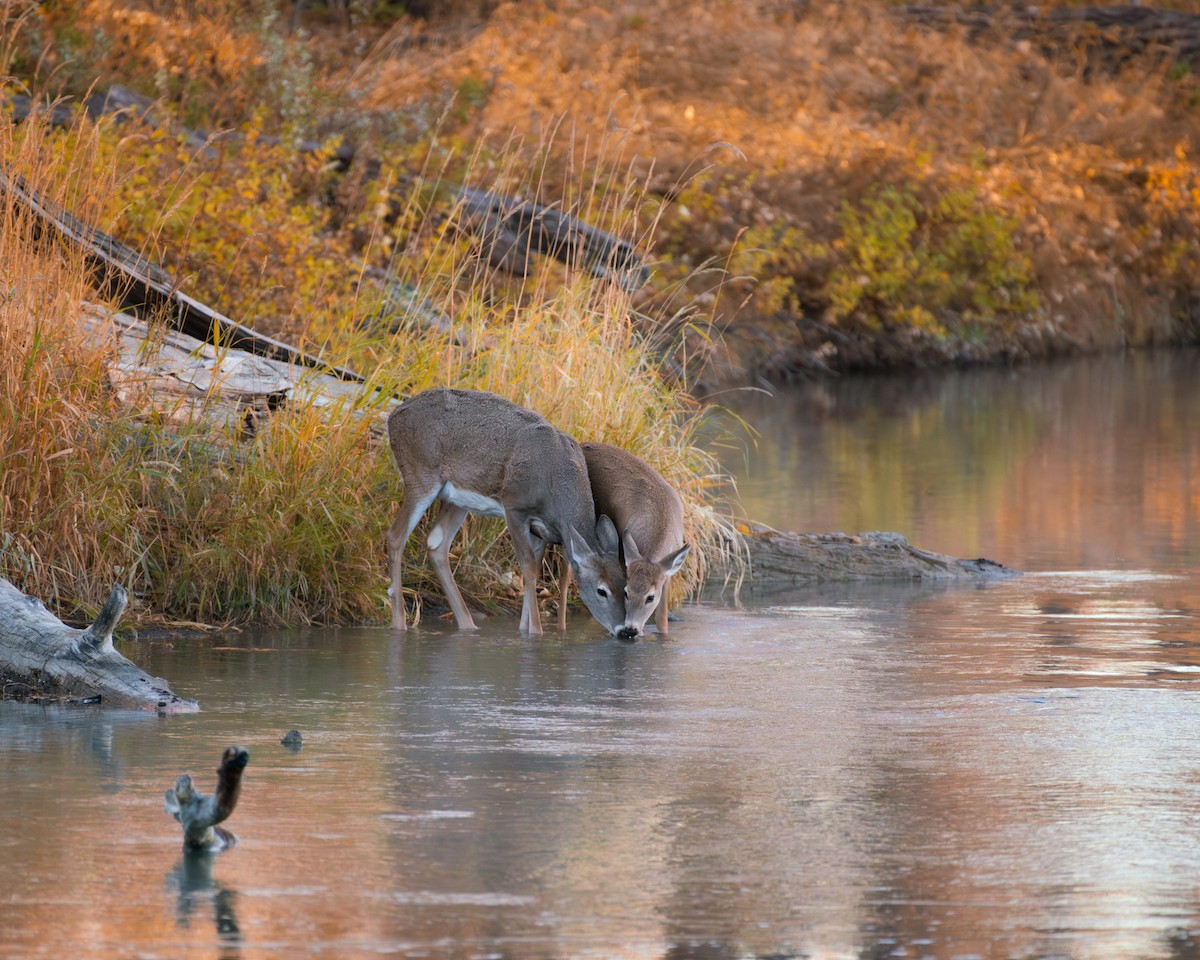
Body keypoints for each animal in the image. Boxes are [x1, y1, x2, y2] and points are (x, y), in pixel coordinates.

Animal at [386, 388, 628, 636]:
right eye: (601, 590)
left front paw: (530, 630)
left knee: (437, 543)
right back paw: (400, 623)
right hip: (420, 474)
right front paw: (536, 633)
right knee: (396, 536)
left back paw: (468, 624)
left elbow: (545, 572)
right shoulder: (514, 506)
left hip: (456, 500)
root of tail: (393, 417)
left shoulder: (542, 530)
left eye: (625, 586)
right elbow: (528, 567)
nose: (624, 630)